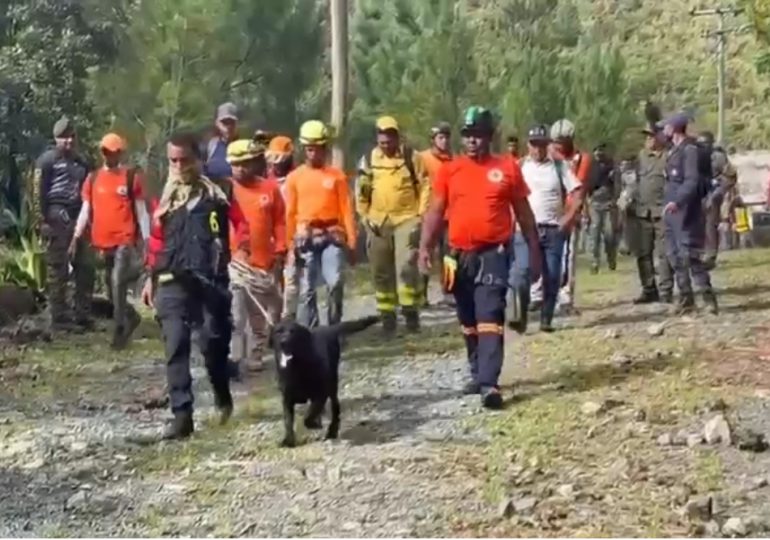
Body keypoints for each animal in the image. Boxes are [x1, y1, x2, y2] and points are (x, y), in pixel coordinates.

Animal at [268, 316, 380, 448]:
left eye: (293, 332)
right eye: (278, 332)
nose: (284, 342)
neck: (296, 367)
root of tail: (327, 329)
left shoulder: (321, 394)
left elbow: (308, 416)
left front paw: (314, 425)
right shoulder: (287, 399)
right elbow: (288, 421)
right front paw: (289, 440)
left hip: (332, 385)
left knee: (335, 409)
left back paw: (332, 431)